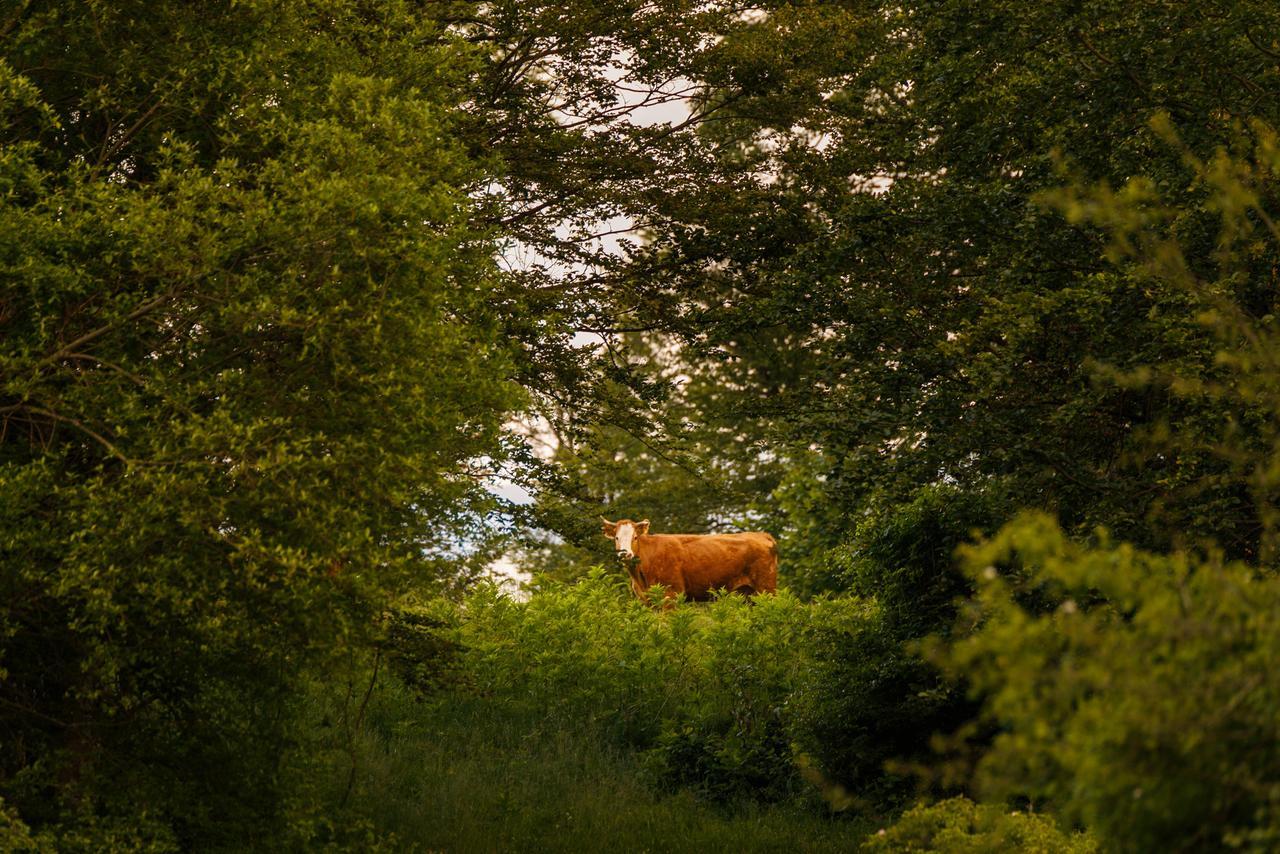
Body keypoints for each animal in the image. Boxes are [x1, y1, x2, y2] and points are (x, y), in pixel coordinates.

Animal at [599, 517, 778, 604]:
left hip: (766, 588)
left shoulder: (671, 595)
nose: (625, 554)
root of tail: (762, 535)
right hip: (748, 594)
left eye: (635, 537)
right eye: (616, 538)